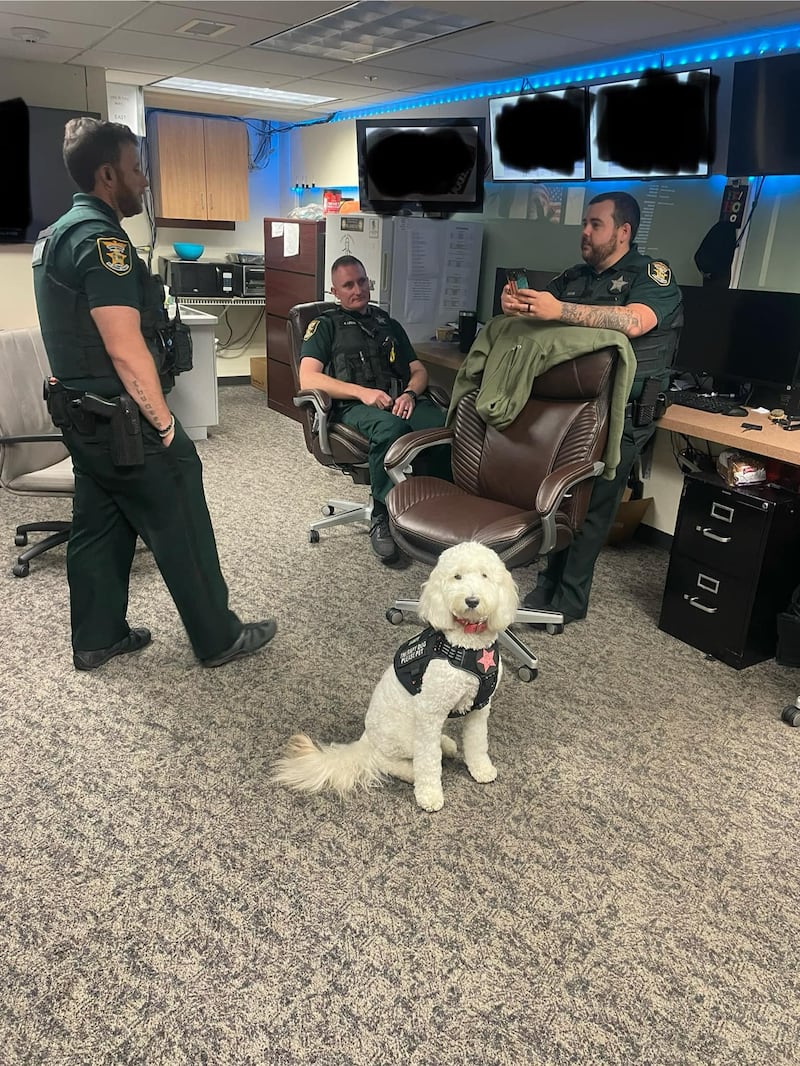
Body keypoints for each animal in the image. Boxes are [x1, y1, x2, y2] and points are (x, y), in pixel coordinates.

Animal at [273, 545, 522, 810]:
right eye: (457, 577)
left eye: (485, 575)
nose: (472, 600)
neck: (467, 646)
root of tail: (366, 740)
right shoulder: (430, 711)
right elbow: (428, 761)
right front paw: (429, 795)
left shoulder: (480, 707)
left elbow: (477, 743)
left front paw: (481, 770)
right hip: (405, 735)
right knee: (389, 761)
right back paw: (412, 772)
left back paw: (446, 744)